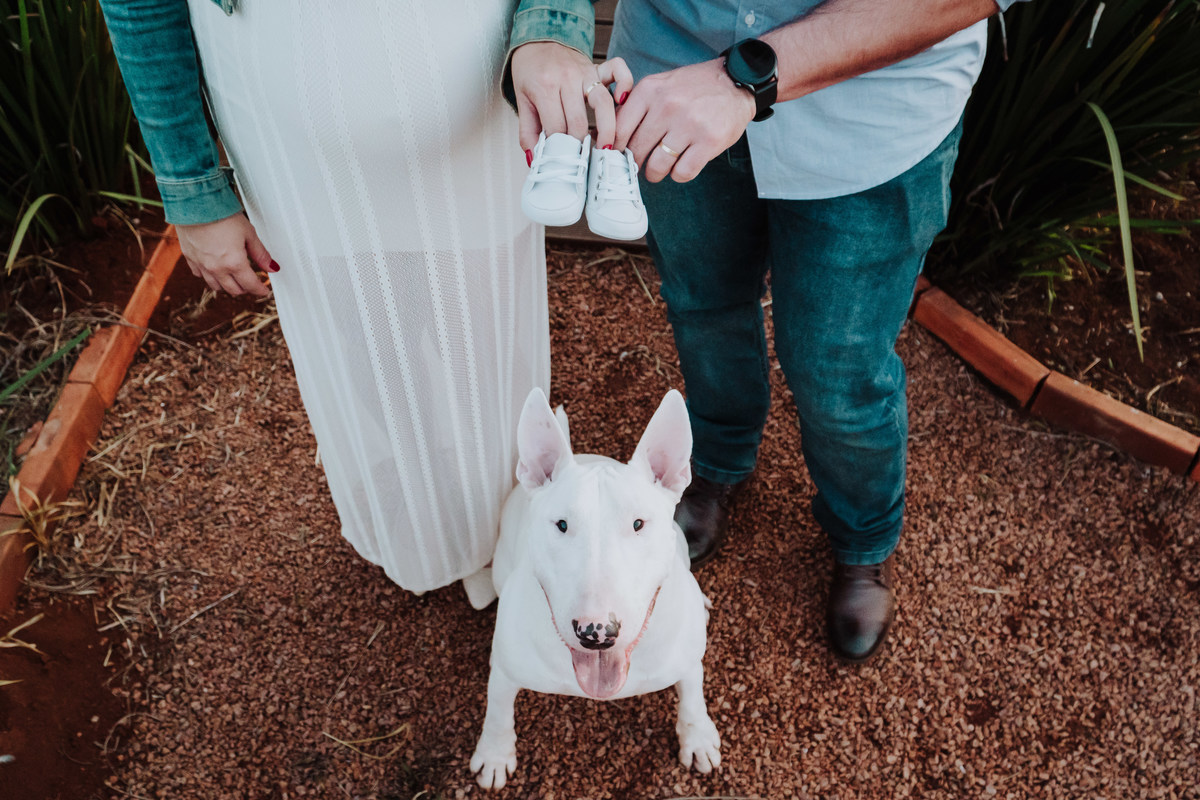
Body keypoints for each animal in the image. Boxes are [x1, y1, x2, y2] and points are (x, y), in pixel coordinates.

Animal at [464, 388, 721, 790]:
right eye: (562, 525)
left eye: (638, 524)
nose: (597, 633)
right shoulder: (504, 668)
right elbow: (498, 711)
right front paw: (494, 755)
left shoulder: (688, 659)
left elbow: (693, 696)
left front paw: (698, 738)